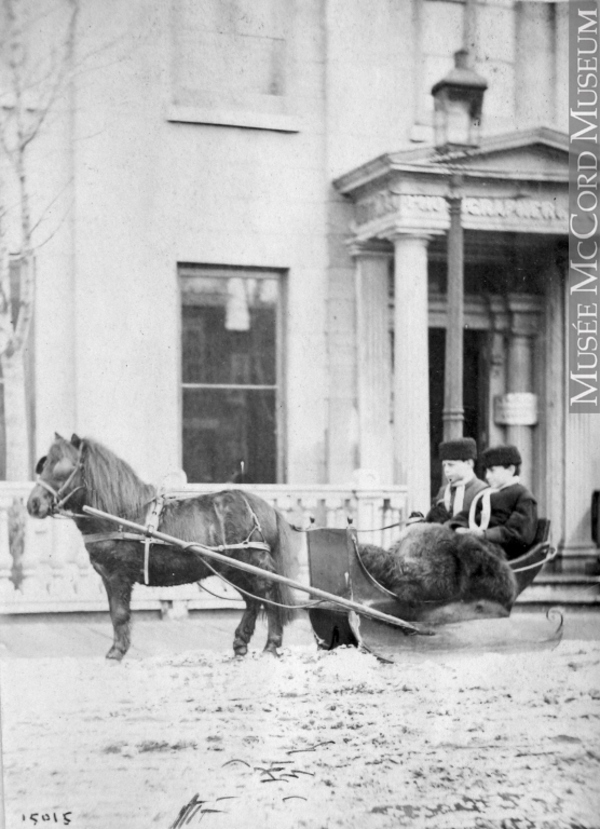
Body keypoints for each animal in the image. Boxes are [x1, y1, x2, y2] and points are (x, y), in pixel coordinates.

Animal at [27, 434, 300, 660]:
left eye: (62, 467)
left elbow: (119, 613)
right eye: (44, 464)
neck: (121, 514)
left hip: (252, 564)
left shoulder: (117, 576)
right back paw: (240, 643)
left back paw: (271, 645)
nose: (33, 504)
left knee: (268, 596)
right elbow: (116, 613)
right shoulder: (107, 576)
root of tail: (264, 506)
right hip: (233, 569)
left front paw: (116, 651)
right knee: (252, 600)